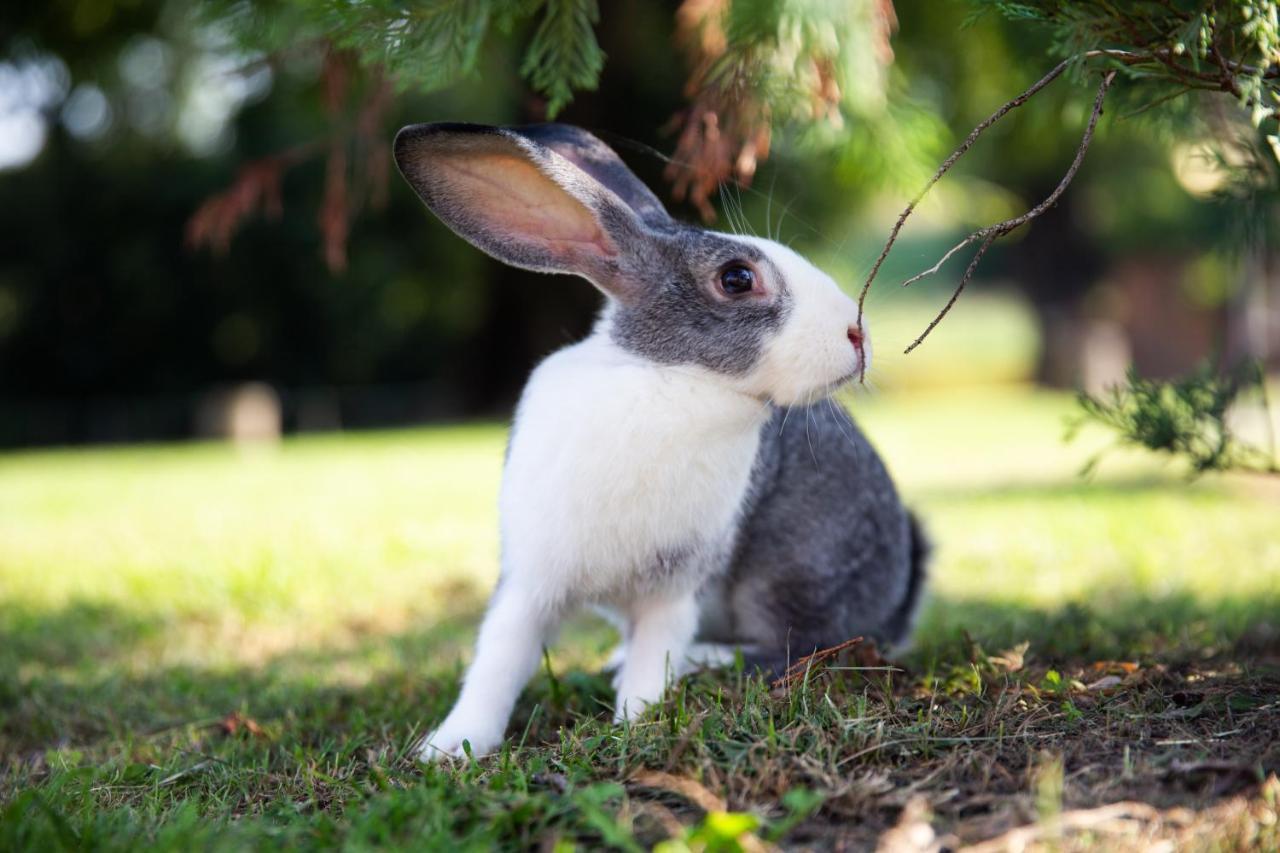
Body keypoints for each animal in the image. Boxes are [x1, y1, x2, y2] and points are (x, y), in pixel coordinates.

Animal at [391, 117, 931, 758]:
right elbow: (498, 663)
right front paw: (451, 747)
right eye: (736, 278)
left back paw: (705, 659)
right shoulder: (529, 579)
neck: (668, 376)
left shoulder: (675, 587)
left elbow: (656, 658)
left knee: (800, 647)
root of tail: (898, 598)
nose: (858, 334)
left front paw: (636, 721)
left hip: (791, 574)